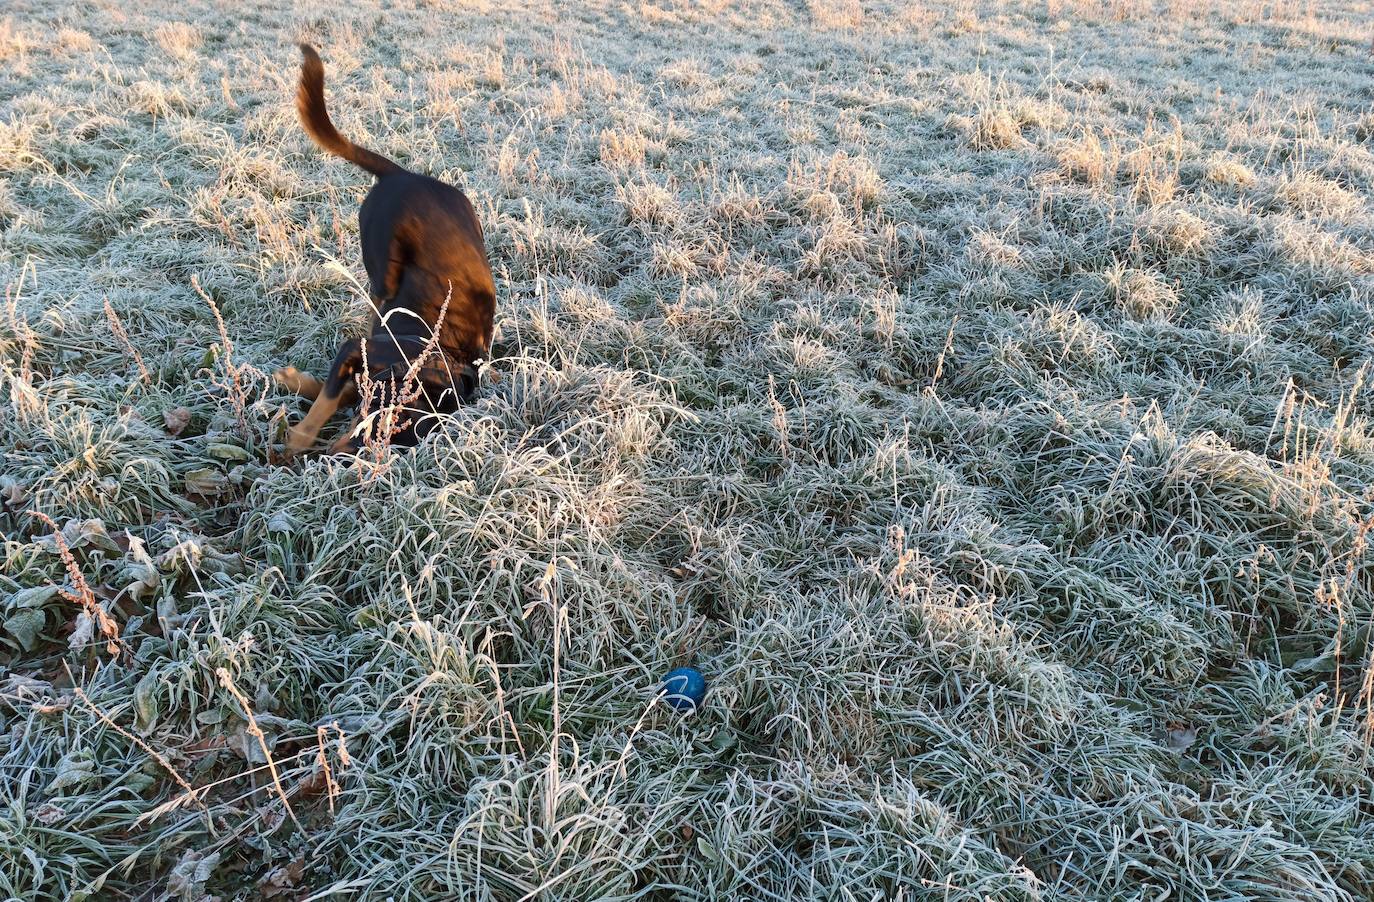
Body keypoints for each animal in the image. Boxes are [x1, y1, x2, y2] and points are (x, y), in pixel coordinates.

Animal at [272, 43, 494, 459]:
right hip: (380, 266)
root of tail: (402, 175)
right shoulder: (357, 349)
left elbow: (341, 390)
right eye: (384, 416)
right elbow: (329, 398)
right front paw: (300, 437)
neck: (443, 353)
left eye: (398, 439)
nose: (342, 457)